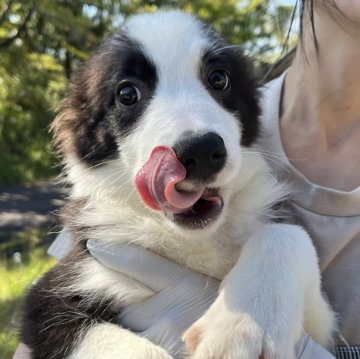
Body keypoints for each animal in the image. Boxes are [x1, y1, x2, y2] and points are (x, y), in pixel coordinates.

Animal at [21, 9, 336, 358]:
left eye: (219, 79)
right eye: (127, 93)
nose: (200, 150)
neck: (191, 239)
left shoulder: (321, 327)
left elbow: (289, 234)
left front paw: (246, 325)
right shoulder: (60, 289)